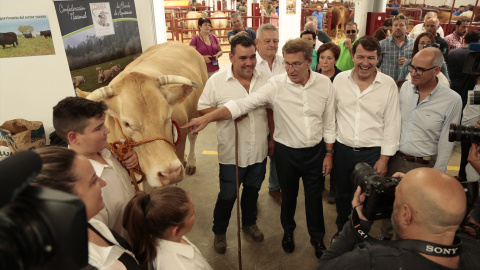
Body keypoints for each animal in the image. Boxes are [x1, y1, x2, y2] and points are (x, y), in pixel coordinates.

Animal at [77, 41, 208, 188]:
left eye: (168, 116)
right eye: (127, 124)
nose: (171, 173)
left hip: (195, 114)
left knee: (193, 136)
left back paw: (190, 162)